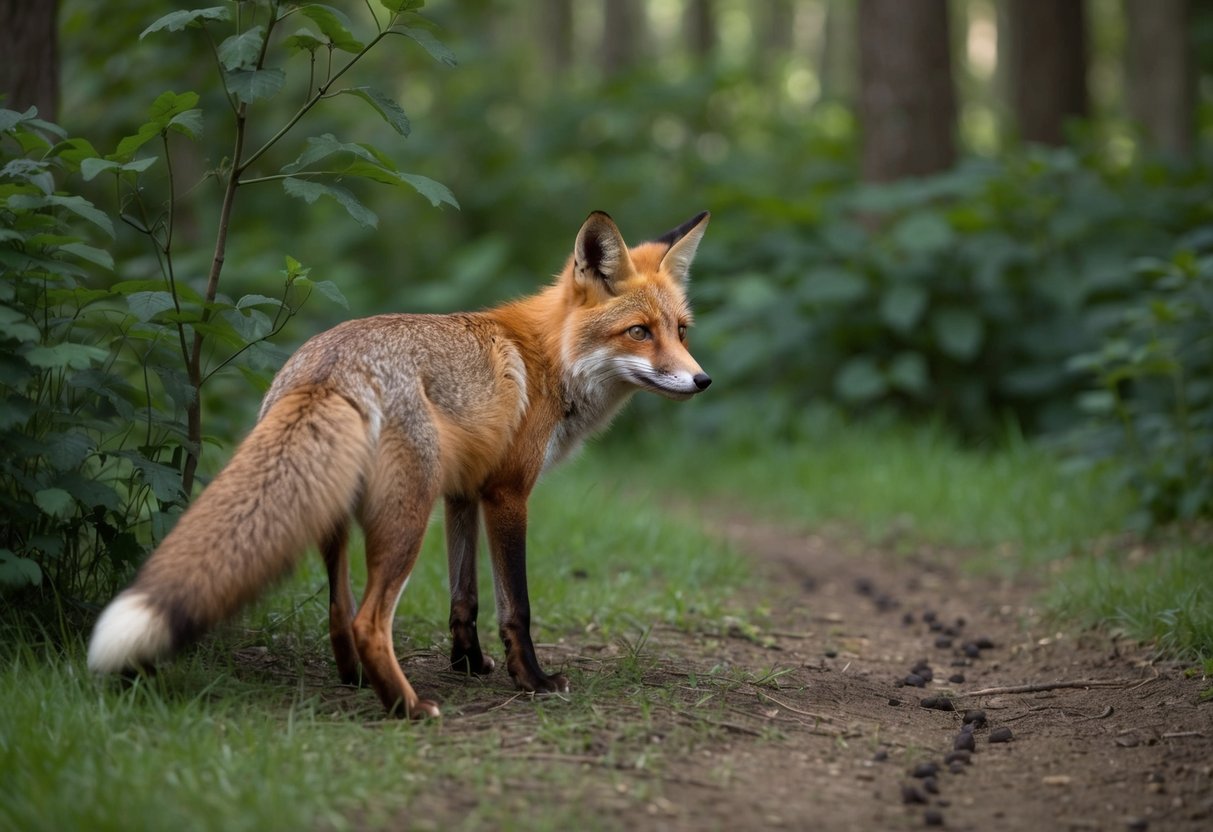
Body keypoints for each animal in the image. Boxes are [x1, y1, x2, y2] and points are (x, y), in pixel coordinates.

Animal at [87, 210, 712, 718]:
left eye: (680, 331)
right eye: (639, 332)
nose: (702, 380)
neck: (550, 361)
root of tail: (326, 366)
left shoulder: (463, 493)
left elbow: (464, 598)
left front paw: (468, 664)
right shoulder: (507, 492)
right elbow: (517, 606)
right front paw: (531, 680)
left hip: (339, 512)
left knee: (339, 611)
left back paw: (358, 681)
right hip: (407, 515)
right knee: (368, 620)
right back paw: (408, 707)